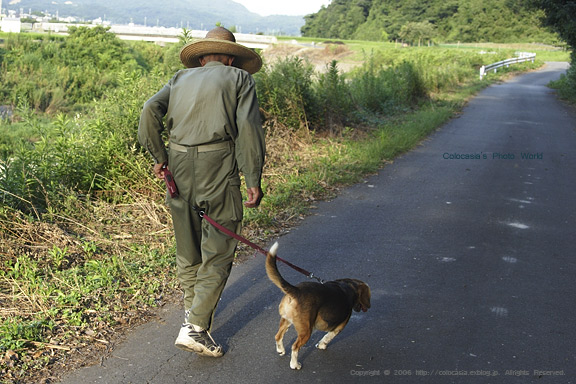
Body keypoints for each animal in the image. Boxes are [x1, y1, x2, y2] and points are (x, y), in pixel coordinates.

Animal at [264, 242, 368, 370]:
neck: (348, 287)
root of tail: (296, 290)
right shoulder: (339, 327)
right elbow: (328, 337)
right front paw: (322, 345)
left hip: (286, 322)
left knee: (278, 336)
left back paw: (281, 350)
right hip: (306, 331)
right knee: (295, 347)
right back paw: (295, 365)